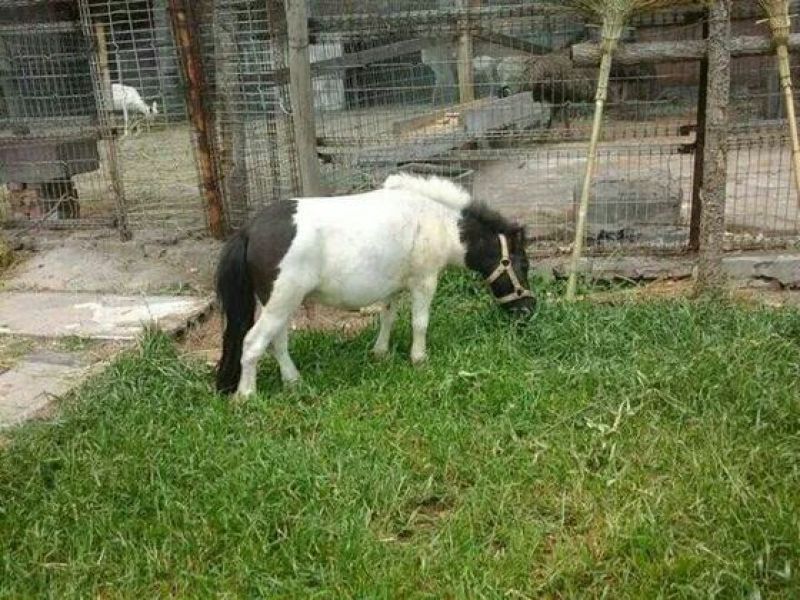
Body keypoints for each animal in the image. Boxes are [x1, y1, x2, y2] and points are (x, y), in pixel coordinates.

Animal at [215, 173, 535, 397]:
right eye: (523, 265)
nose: (529, 310)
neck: (440, 223)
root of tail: (249, 229)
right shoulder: (424, 282)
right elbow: (420, 323)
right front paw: (419, 359)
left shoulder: (393, 287)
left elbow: (387, 317)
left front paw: (380, 353)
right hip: (281, 303)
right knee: (253, 342)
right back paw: (246, 395)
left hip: (279, 304)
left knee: (277, 342)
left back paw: (293, 381)